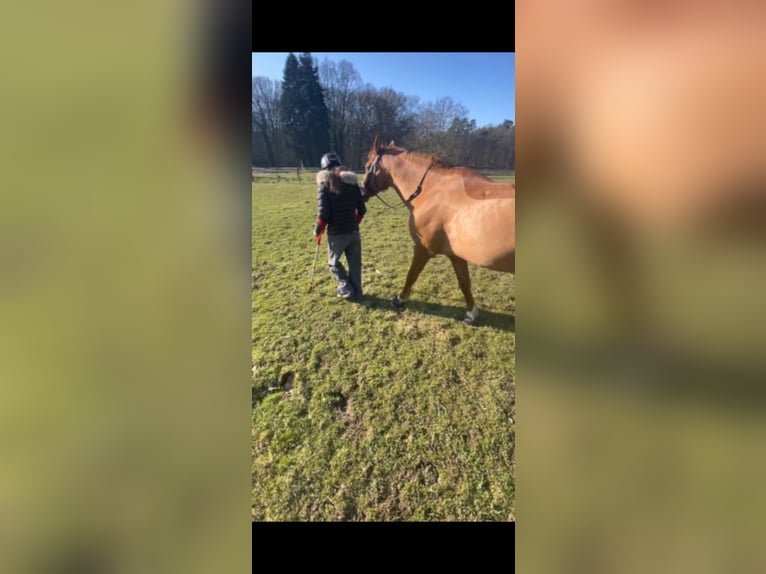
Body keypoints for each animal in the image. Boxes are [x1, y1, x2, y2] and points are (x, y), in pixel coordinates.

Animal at [361, 136, 515, 325]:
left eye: (367, 166)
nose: (361, 189)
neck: (433, 190)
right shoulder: (456, 256)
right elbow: (464, 283)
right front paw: (471, 314)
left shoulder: (423, 250)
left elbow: (411, 275)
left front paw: (400, 299)